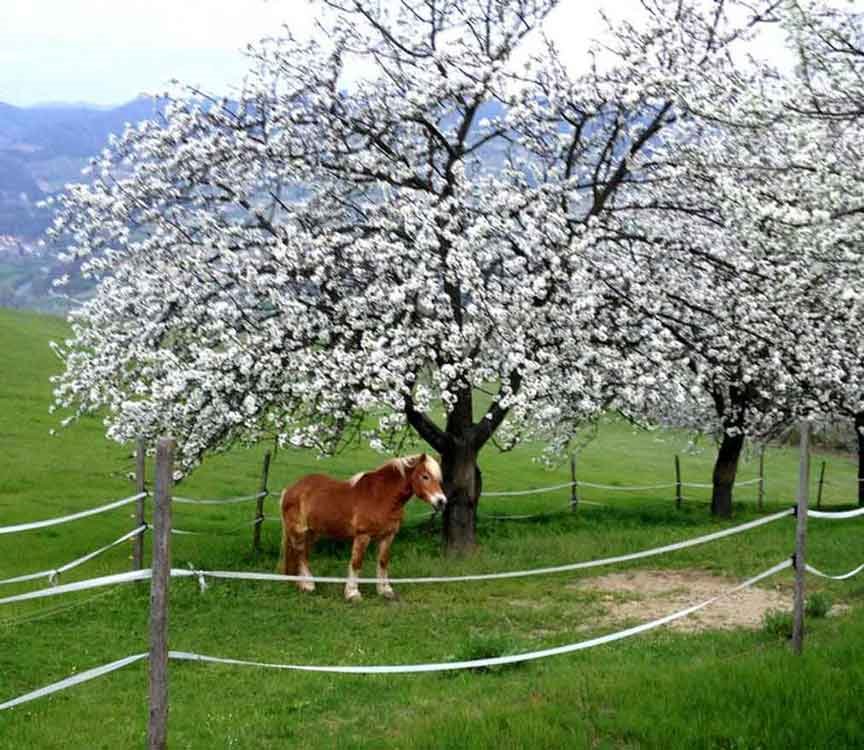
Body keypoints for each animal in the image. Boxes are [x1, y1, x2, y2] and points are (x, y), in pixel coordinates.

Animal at [278, 453, 447, 601]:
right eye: (425, 476)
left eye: (438, 478)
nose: (441, 501)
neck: (381, 497)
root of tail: (291, 489)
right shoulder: (363, 536)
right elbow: (356, 562)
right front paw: (352, 593)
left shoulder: (388, 536)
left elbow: (383, 561)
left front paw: (385, 591)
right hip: (299, 531)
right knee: (300, 554)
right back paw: (308, 585)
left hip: (312, 532)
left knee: (303, 554)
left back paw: (301, 583)